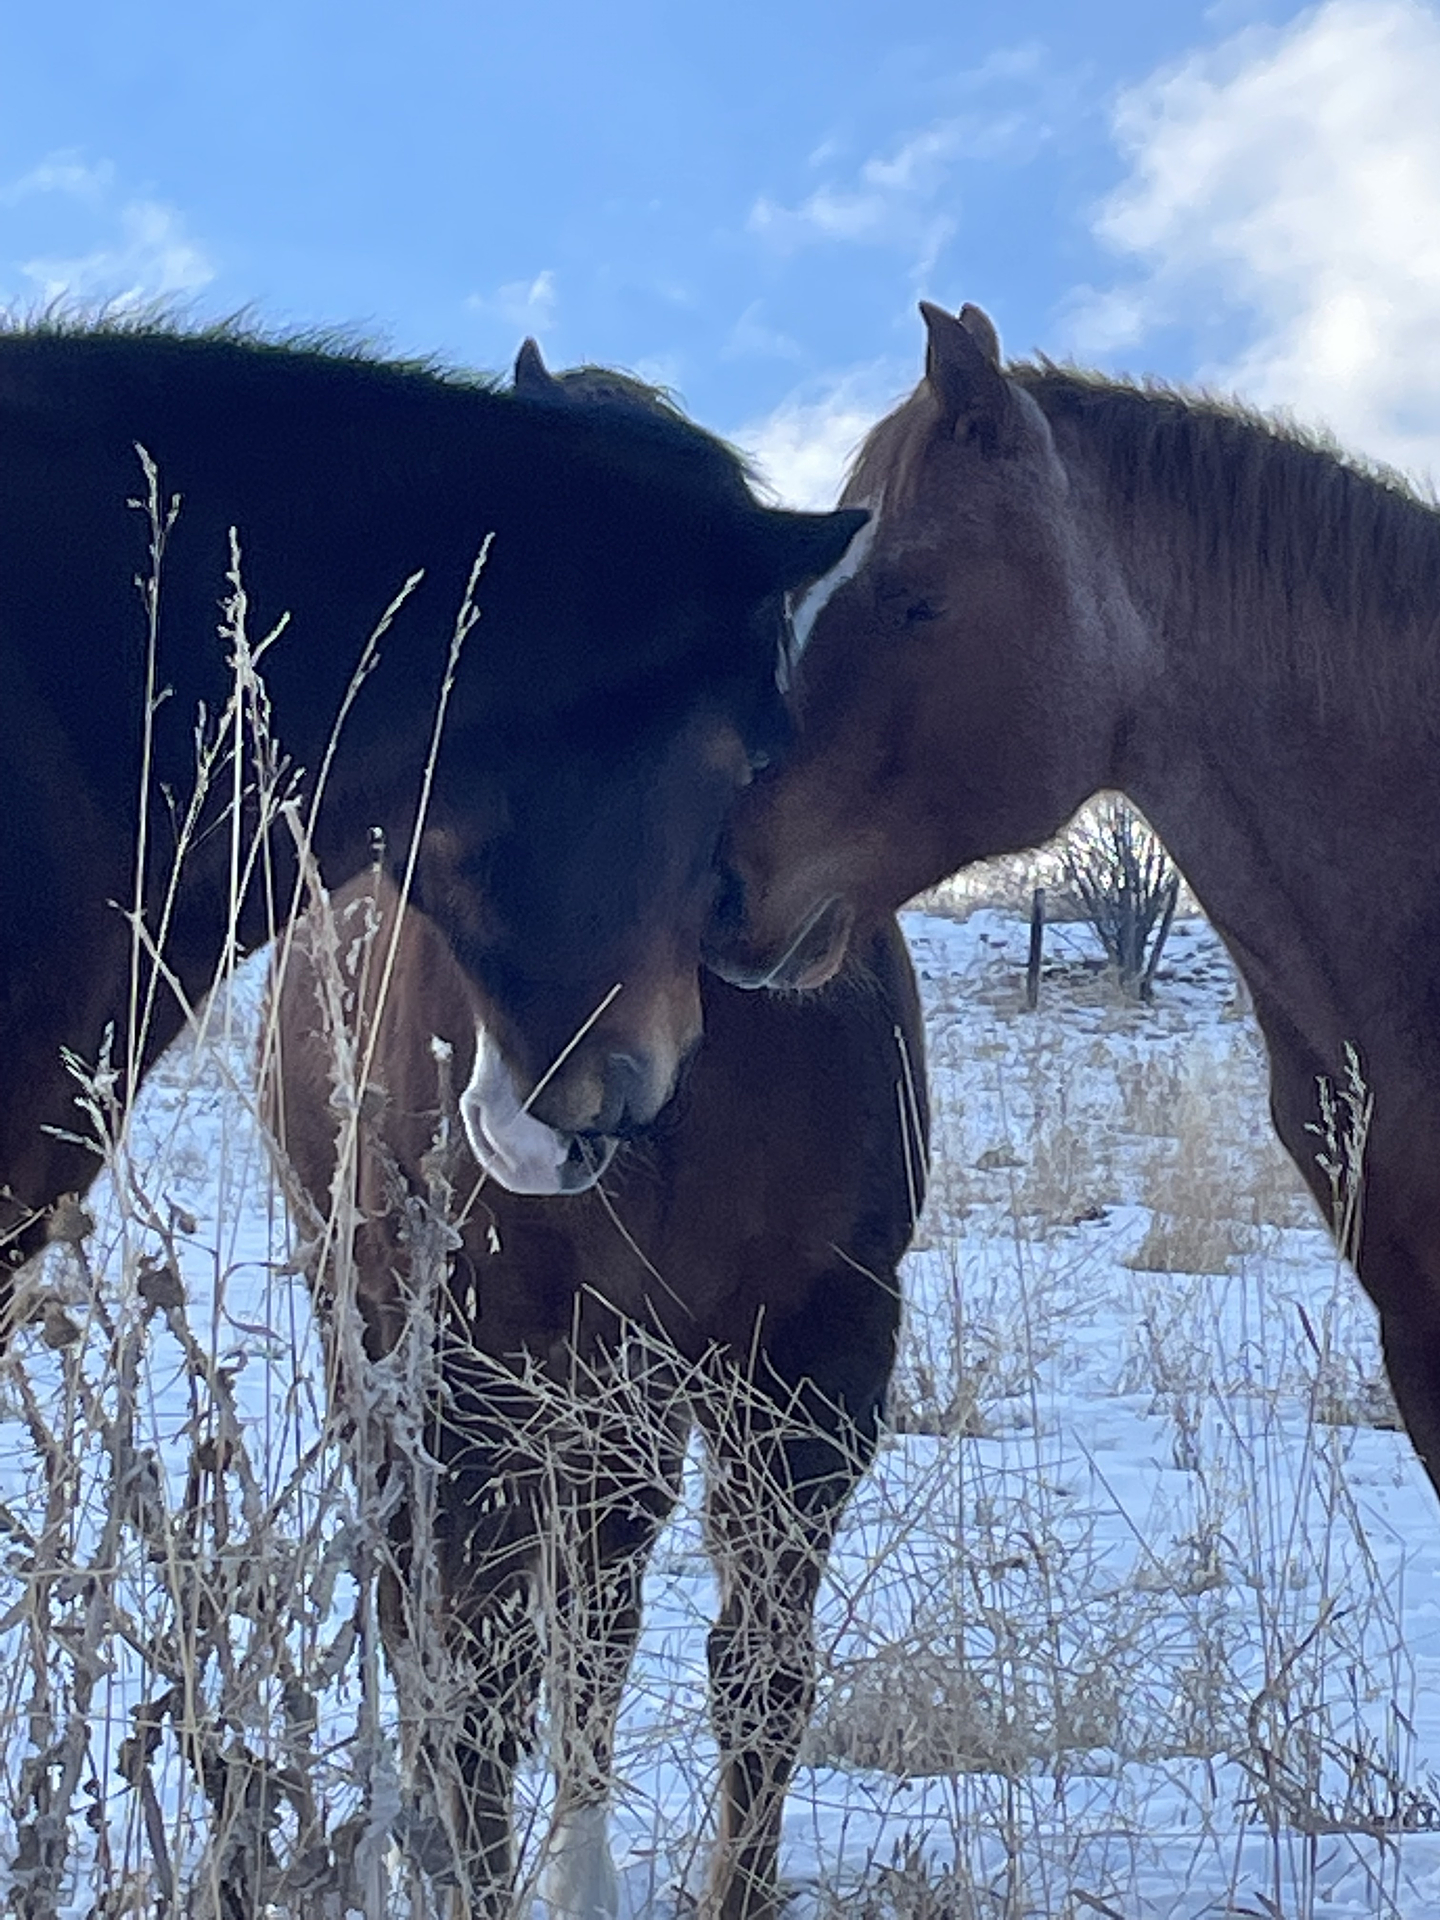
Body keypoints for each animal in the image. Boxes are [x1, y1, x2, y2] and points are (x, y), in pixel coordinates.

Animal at [268, 864, 925, 1912]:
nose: (539, 1117)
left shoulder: (815, 1362)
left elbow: (762, 1677)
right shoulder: (472, 1383)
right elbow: (477, 1693)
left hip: (621, 1415)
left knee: (595, 1631)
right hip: (382, 1361)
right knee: (419, 1624)